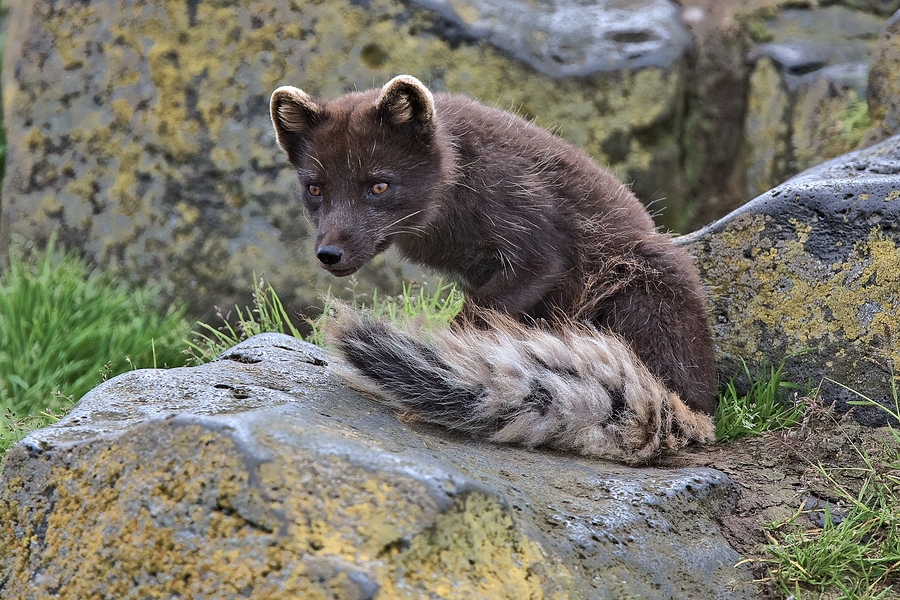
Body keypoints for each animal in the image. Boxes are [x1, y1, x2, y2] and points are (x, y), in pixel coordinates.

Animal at [268, 76, 716, 464]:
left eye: (379, 186)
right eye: (314, 189)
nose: (329, 254)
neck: (460, 176)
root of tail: (694, 411)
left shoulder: (536, 250)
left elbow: (469, 322)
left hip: (634, 283)